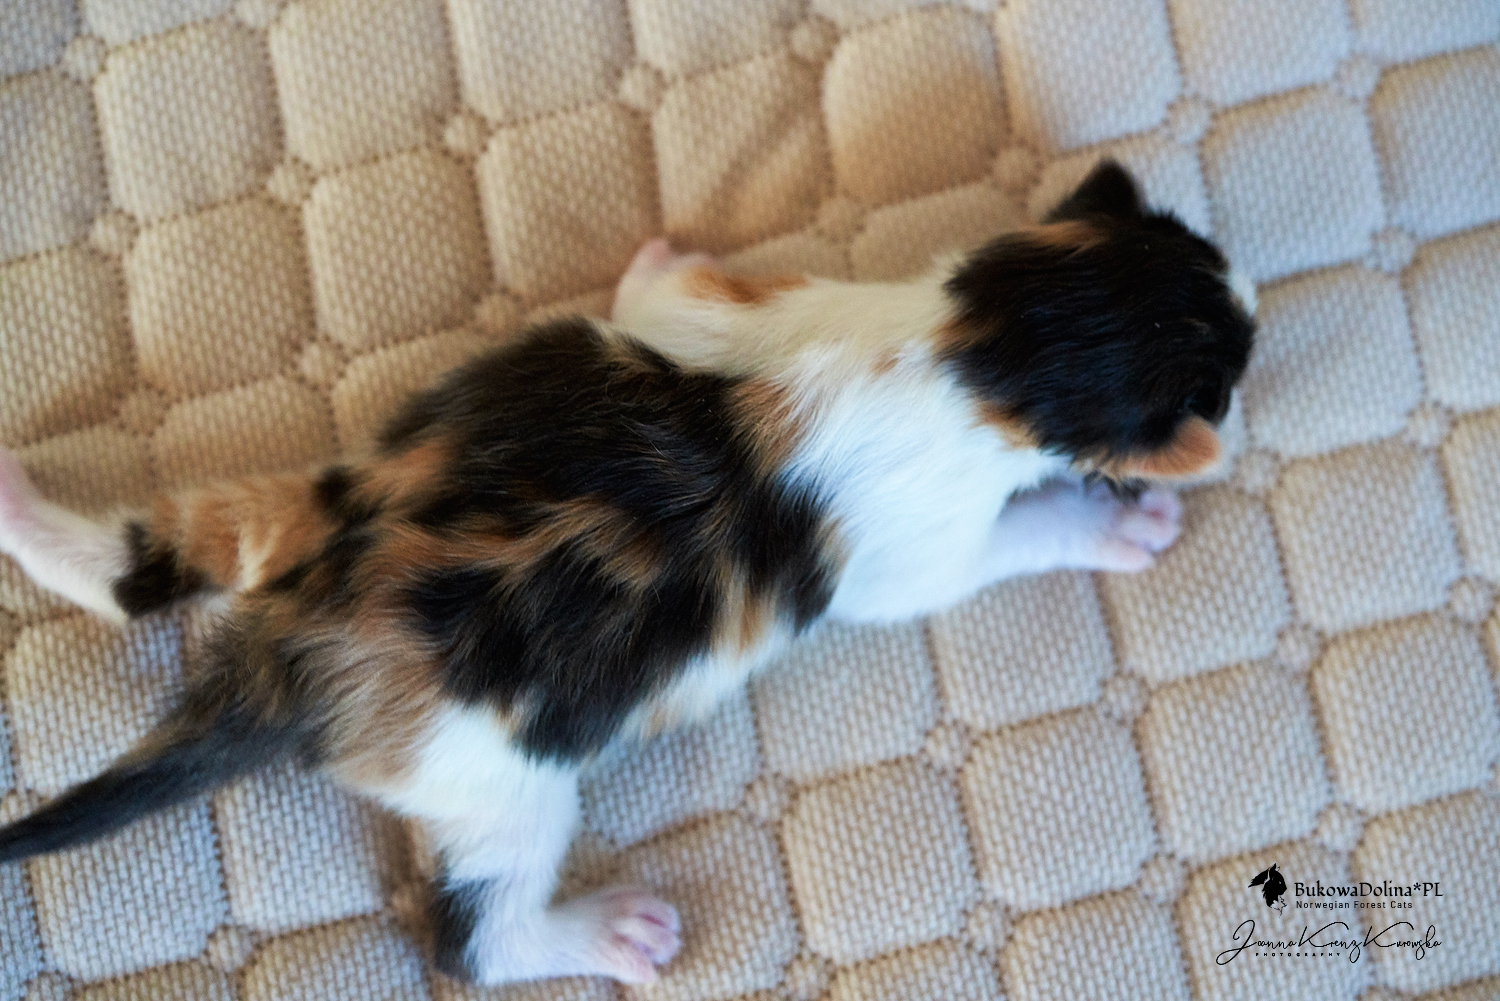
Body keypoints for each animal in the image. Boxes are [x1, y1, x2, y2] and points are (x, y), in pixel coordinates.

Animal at [0, 163, 1254, 986]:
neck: (970, 353)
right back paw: (604, 933)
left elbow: (660, 295)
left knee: (145, 560)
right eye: (1233, 365)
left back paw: (23, 503)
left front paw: (658, 253)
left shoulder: (743, 311)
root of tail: (294, 660)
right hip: (502, 784)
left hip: (313, 506)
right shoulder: (915, 552)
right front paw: (1119, 523)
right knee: (470, 940)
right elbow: (1005, 543)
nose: (1250, 337)